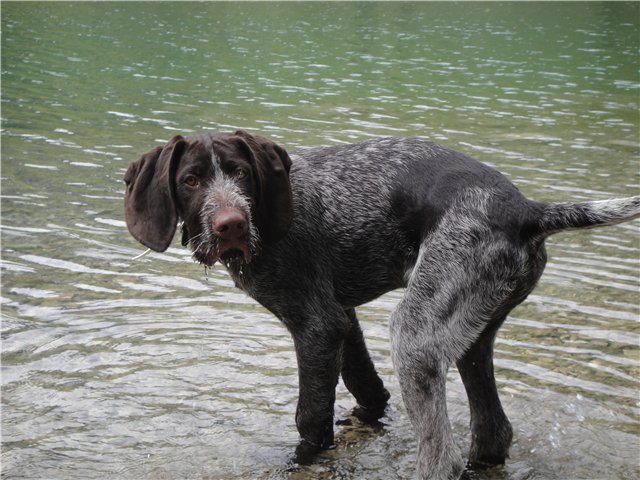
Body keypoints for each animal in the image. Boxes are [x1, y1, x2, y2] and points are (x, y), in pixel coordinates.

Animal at [125, 129, 640, 478]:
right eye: (191, 180)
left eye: (240, 173)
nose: (230, 224)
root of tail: (526, 209)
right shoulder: (343, 319)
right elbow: (367, 388)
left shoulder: (316, 326)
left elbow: (311, 419)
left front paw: (301, 459)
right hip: (473, 335)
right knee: (494, 432)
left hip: (415, 336)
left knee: (443, 458)